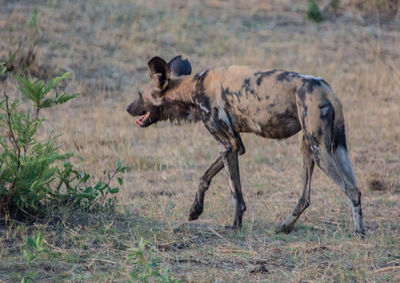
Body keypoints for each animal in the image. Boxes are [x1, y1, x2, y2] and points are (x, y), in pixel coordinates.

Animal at [126, 55, 364, 235]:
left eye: (139, 94)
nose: (127, 108)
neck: (194, 89)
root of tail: (328, 90)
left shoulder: (228, 144)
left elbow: (235, 193)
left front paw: (235, 225)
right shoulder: (233, 144)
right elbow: (204, 178)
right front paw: (196, 210)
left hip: (319, 150)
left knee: (351, 190)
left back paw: (358, 232)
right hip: (315, 148)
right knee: (309, 197)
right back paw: (285, 226)